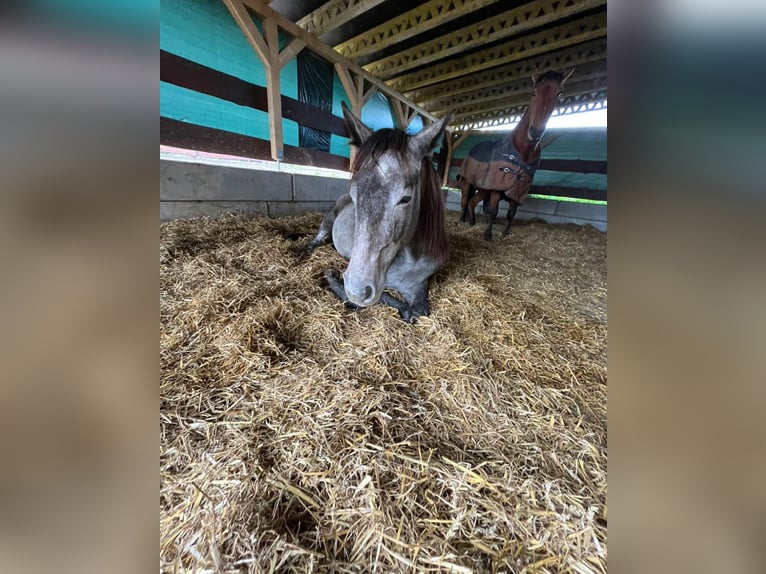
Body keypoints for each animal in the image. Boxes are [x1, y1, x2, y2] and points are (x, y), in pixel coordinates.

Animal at [303, 102, 452, 322]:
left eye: (405, 198)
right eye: (354, 194)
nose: (357, 291)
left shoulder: (418, 287)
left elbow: (417, 311)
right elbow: (390, 301)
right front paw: (333, 279)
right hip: (327, 223)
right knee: (318, 238)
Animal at [459, 69, 574, 240]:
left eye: (559, 93)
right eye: (534, 92)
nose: (536, 132)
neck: (521, 152)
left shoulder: (518, 191)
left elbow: (511, 213)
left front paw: (505, 233)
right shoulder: (496, 188)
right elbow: (493, 211)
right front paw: (488, 235)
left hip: (483, 189)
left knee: (472, 201)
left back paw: (471, 221)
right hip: (468, 182)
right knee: (465, 200)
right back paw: (462, 220)